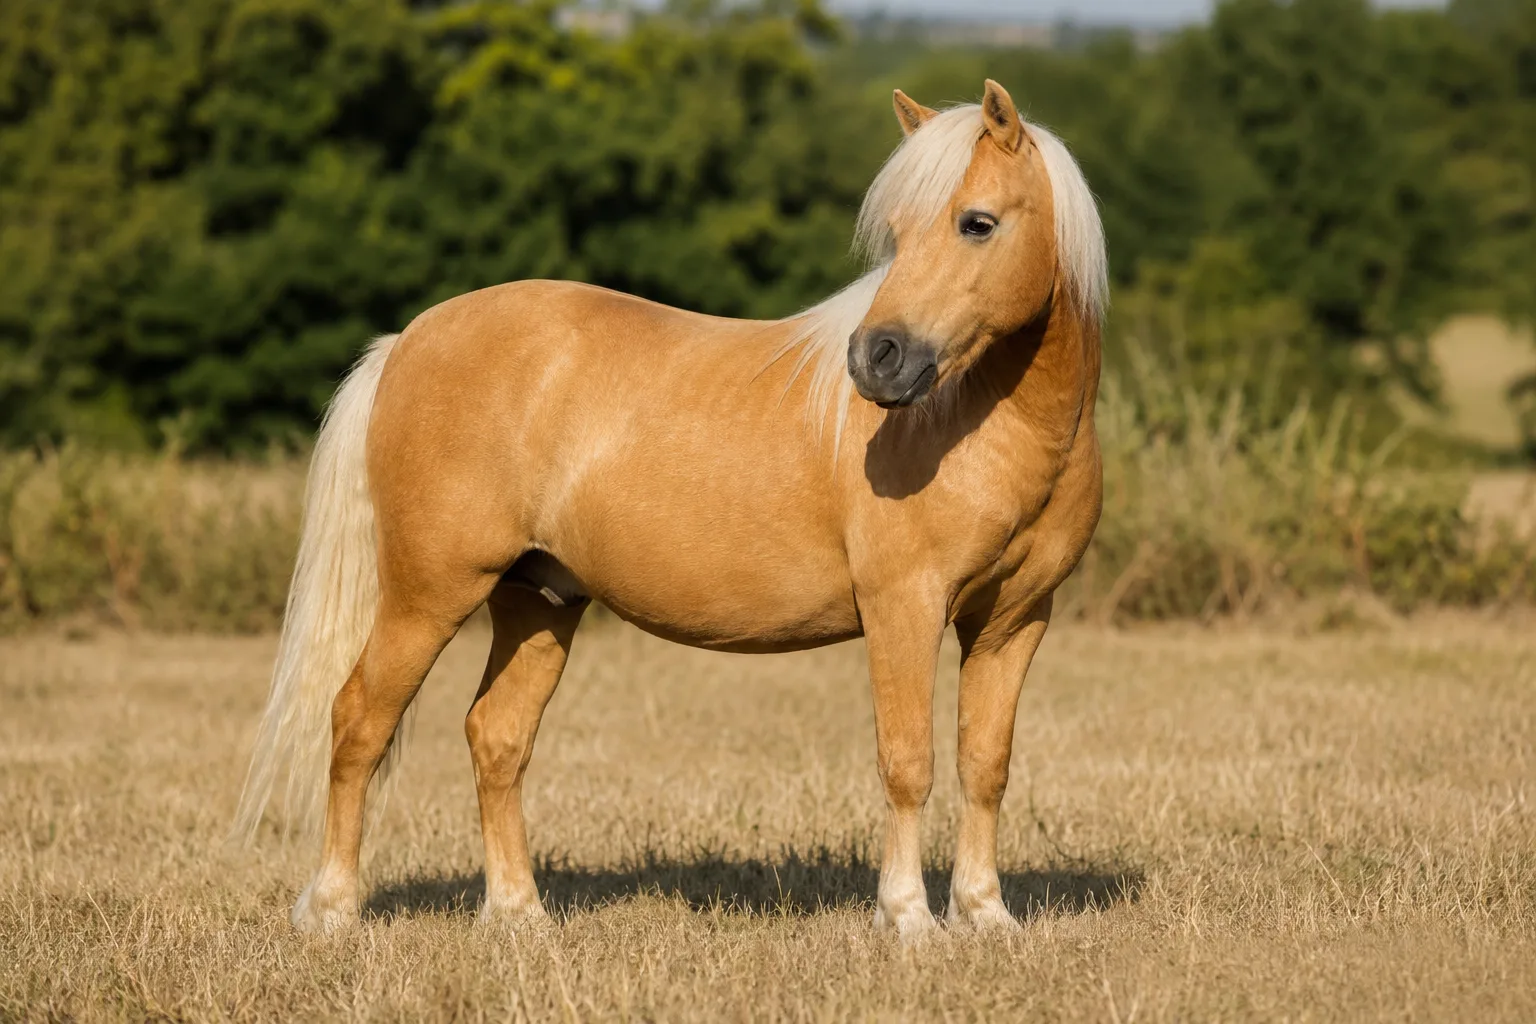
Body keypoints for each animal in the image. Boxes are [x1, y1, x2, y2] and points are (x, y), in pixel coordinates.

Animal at [233, 79, 1107, 942]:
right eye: (896, 234)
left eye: (977, 223)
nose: (876, 361)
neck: (984, 424)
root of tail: (406, 342)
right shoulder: (905, 608)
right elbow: (908, 763)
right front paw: (909, 921)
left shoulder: (1013, 620)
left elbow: (984, 765)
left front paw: (987, 915)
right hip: (430, 593)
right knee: (358, 721)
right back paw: (333, 912)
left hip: (537, 602)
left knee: (496, 737)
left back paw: (518, 915)